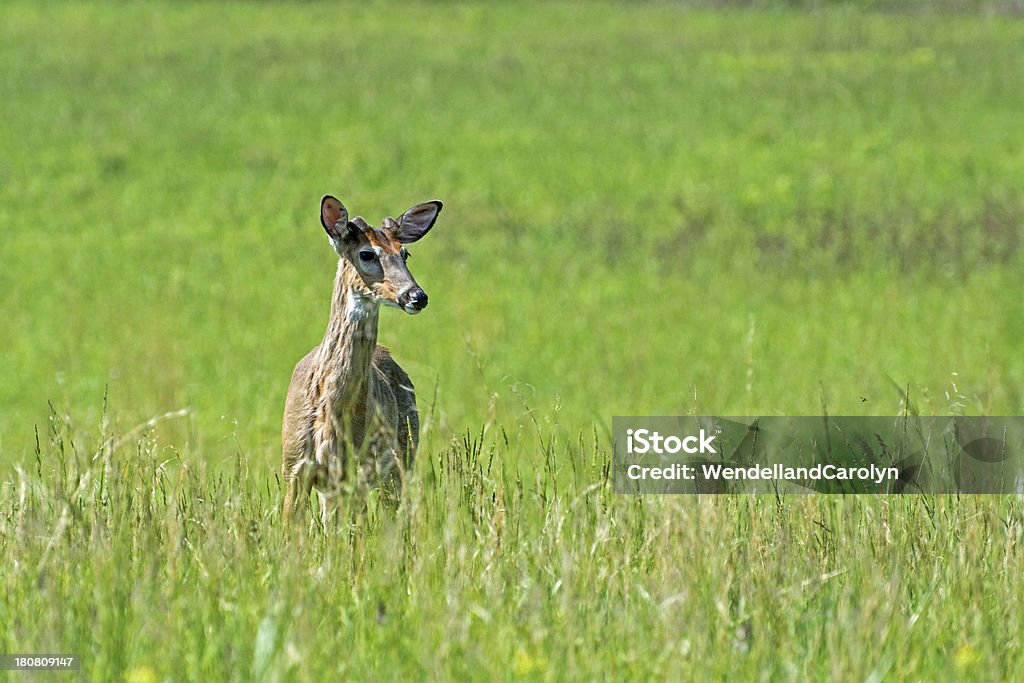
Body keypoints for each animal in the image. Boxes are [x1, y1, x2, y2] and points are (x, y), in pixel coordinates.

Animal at [282, 194, 442, 528]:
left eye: (405, 253)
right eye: (366, 253)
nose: (417, 296)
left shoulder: (353, 469)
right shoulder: (293, 466)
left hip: (402, 454)